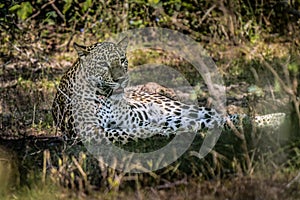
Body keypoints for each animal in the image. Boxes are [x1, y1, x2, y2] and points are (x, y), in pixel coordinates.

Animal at [51, 37, 286, 144]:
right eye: (103, 64)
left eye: (122, 60)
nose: (121, 79)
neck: (107, 97)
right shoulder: (89, 131)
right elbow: (121, 132)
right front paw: (154, 131)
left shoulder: (128, 120)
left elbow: (125, 129)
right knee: (214, 122)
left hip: (180, 109)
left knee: (230, 117)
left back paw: (278, 118)